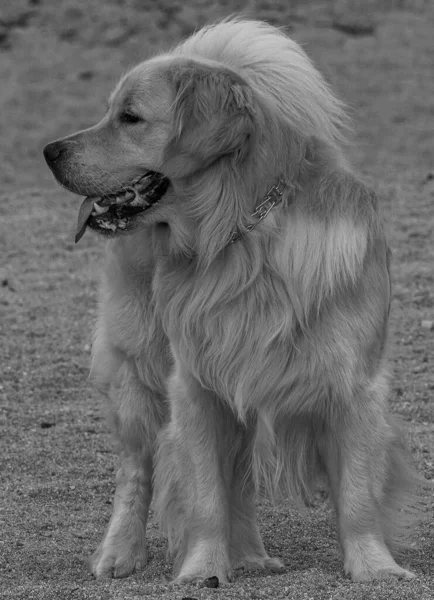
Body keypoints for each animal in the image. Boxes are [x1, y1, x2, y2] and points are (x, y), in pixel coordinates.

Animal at [44, 19, 424, 584]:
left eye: (129, 117)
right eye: (111, 111)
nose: (50, 151)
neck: (239, 240)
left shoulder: (354, 385)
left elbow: (357, 493)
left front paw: (375, 567)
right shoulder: (195, 387)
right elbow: (205, 496)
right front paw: (201, 568)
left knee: (239, 480)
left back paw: (248, 554)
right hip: (137, 372)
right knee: (135, 473)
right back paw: (121, 554)